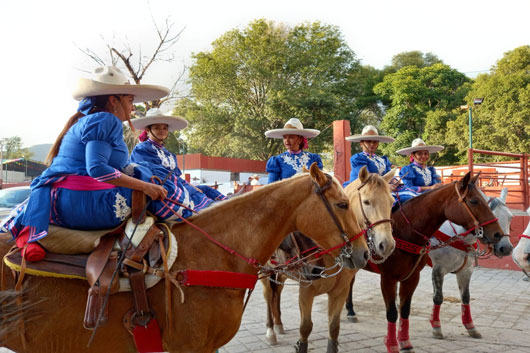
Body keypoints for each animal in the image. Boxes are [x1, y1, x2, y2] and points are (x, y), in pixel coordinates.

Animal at [260, 166, 392, 352]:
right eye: (367, 202)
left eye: (392, 202)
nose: (386, 244)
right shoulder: (306, 291)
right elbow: (305, 328)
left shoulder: (340, 291)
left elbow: (334, 328)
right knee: (268, 294)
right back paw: (271, 331)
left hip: (282, 273)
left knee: (276, 293)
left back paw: (279, 324)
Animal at [428, 187, 512, 338]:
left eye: (510, 217)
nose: (506, 248)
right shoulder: (438, 268)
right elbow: (438, 297)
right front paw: (436, 326)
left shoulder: (466, 271)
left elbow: (465, 297)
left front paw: (470, 327)